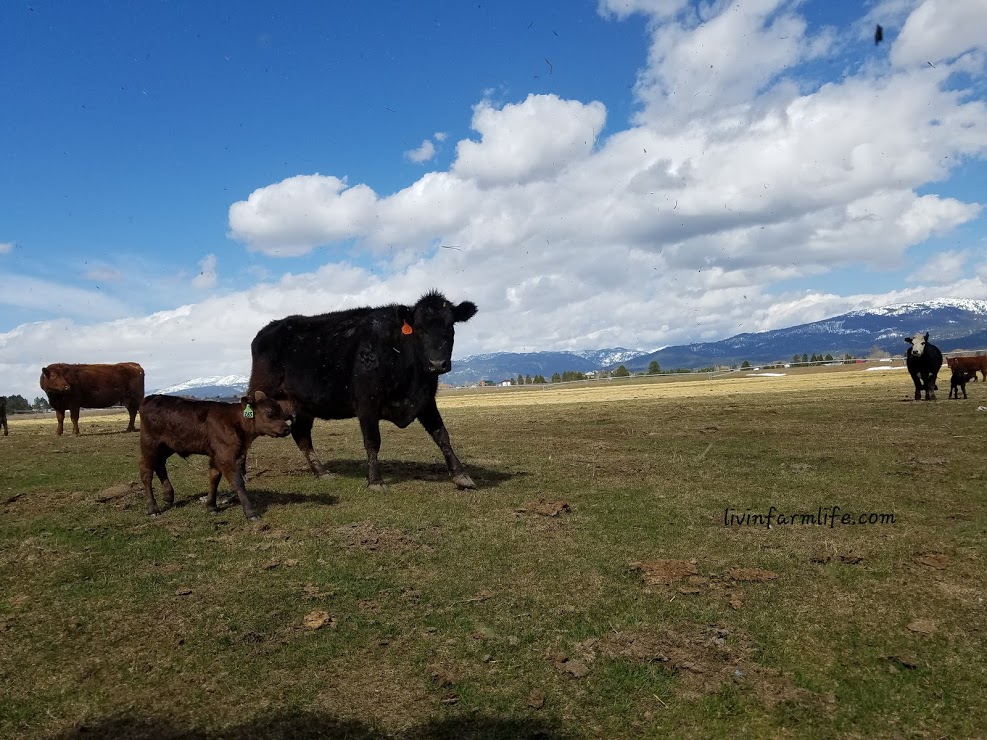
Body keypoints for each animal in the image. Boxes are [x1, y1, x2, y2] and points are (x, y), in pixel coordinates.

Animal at [139, 394, 294, 520]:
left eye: (281, 412)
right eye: (269, 414)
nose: (287, 429)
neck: (235, 421)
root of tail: (150, 398)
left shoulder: (216, 456)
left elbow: (214, 478)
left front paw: (211, 506)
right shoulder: (226, 456)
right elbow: (237, 482)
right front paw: (251, 512)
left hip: (166, 447)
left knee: (159, 465)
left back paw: (168, 496)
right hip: (149, 444)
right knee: (146, 472)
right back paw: (153, 508)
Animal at [247, 290, 478, 492]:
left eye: (450, 327)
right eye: (419, 328)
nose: (437, 363)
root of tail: (268, 330)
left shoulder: (426, 401)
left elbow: (442, 435)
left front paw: (461, 475)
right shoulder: (367, 402)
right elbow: (373, 441)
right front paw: (375, 481)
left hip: (303, 406)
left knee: (302, 435)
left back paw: (321, 471)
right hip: (262, 393)